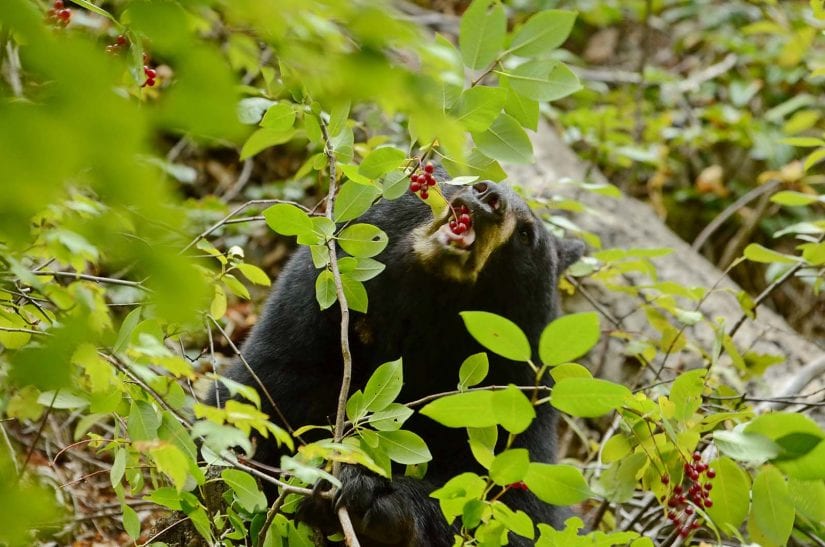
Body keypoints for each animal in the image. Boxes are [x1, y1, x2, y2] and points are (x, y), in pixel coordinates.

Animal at [212, 179, 584, 544]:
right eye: (456, 183)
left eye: (525, 234)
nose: (488, 197)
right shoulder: (300, 340)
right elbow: (248, 408)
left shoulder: (517, 402)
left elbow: (518, 511)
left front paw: (373, 495)